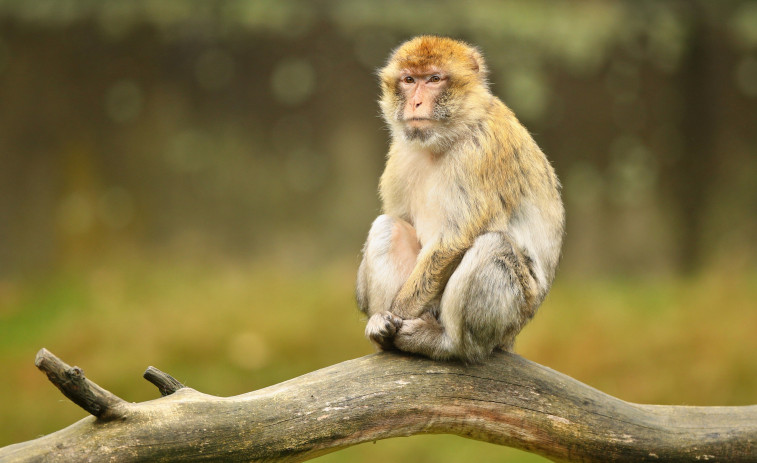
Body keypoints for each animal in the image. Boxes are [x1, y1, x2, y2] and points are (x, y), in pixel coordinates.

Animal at [354, 34, 560, 364]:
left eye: (434, 79)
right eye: (409, 80)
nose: (416, 102)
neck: (448, 136)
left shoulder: (481, 152)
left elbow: (454, 240)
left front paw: (398, 313)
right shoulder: (400, 154)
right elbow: (400, 218)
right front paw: (372, 307)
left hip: (511, 318)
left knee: (494, 246)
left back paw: (446, 343)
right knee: (389, 226)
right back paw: (383, 334)